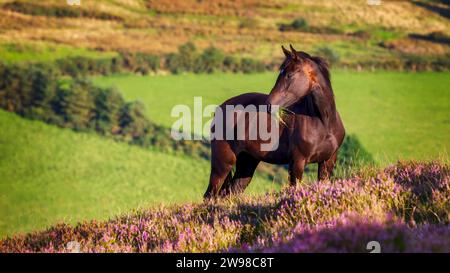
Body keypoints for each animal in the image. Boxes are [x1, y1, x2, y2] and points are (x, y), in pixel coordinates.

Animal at [204, 44, 344, 198]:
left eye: (289, 75)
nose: (269, 104)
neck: (324, 123)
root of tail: (220, 109)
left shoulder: (327, 162)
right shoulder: (297, 163)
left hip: (247, 162)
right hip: (222, 164)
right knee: (210, 195)